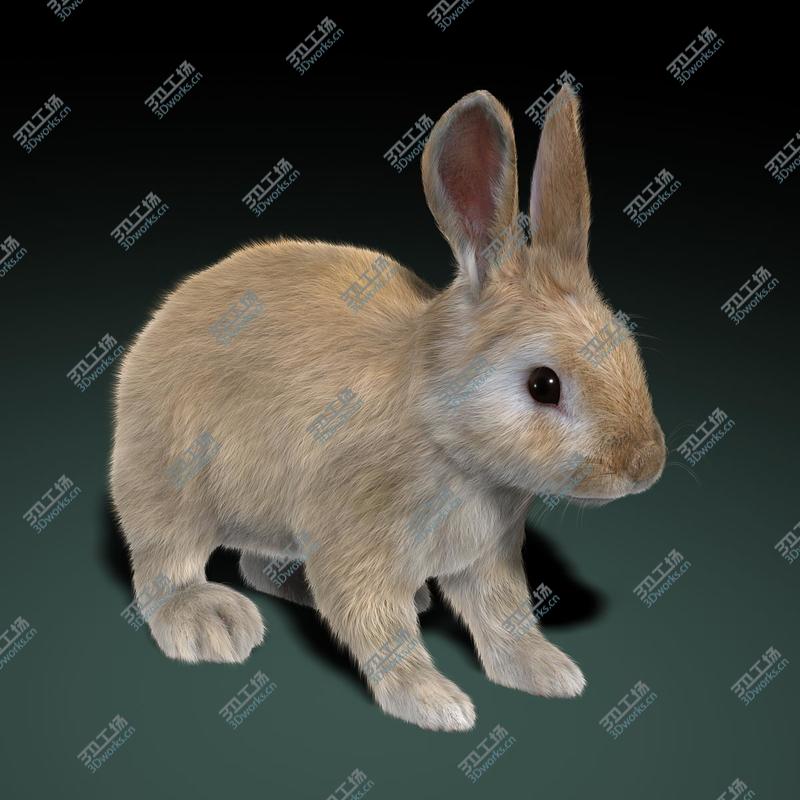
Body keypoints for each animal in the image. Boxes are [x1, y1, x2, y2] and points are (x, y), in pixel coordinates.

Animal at [110, 84, 666, 732]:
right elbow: (382, 631)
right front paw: (435, 703)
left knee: (258, 565)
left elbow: (505, 616)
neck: (441, 429)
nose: (645, 465)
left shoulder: (488, 557)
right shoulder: (355, 543)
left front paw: (547, 671)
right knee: (164, 563)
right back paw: (209, 623)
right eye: (544, 384)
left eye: (627, 346)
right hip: (171, 484)